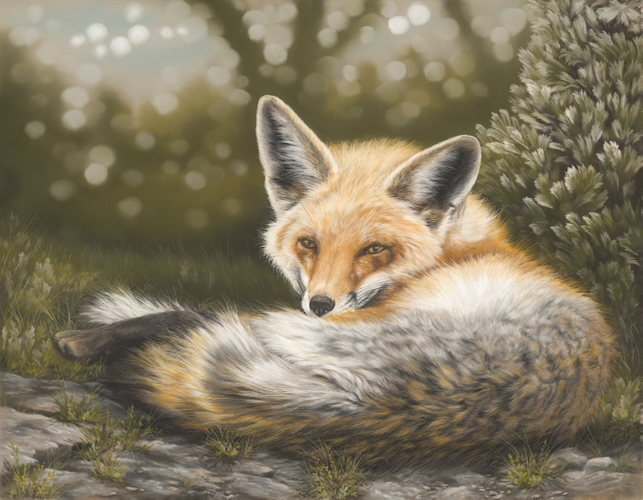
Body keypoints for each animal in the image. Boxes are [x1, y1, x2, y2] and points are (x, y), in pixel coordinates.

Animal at [55, 95, 616, 468]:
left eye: (374, 249)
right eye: (309, 243)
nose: (320, 304)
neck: (459, 248)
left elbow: (192, 313)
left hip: (300, 331)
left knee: (201, 317)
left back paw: (87, 340)